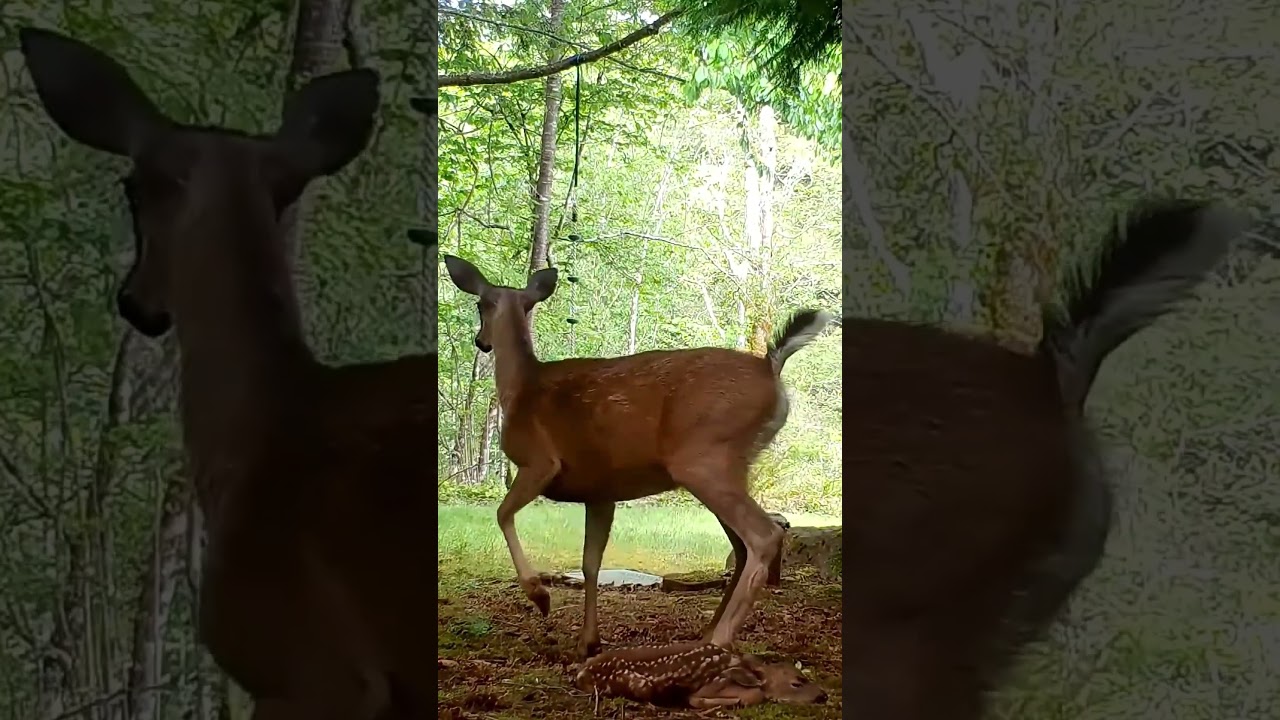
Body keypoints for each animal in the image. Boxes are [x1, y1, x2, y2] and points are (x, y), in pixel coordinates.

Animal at [442, 255, 832, 659]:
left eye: (480, 305)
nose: (481, 341)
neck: (520, 390)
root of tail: (771, 366)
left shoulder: (538, 461)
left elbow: (502, 514)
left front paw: (540, 595)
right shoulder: (600, 492)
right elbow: (590, 562)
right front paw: (588, 641)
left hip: (703, 459)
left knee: (763, 535)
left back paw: (719, 638)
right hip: (731, 465)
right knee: (742, 546)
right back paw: (706, 632)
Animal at [573, 641, 829, 709]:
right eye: (797, 683)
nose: (824, 695)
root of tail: (581, 674)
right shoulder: (710, 685)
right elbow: (755, 695)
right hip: (639, 684)